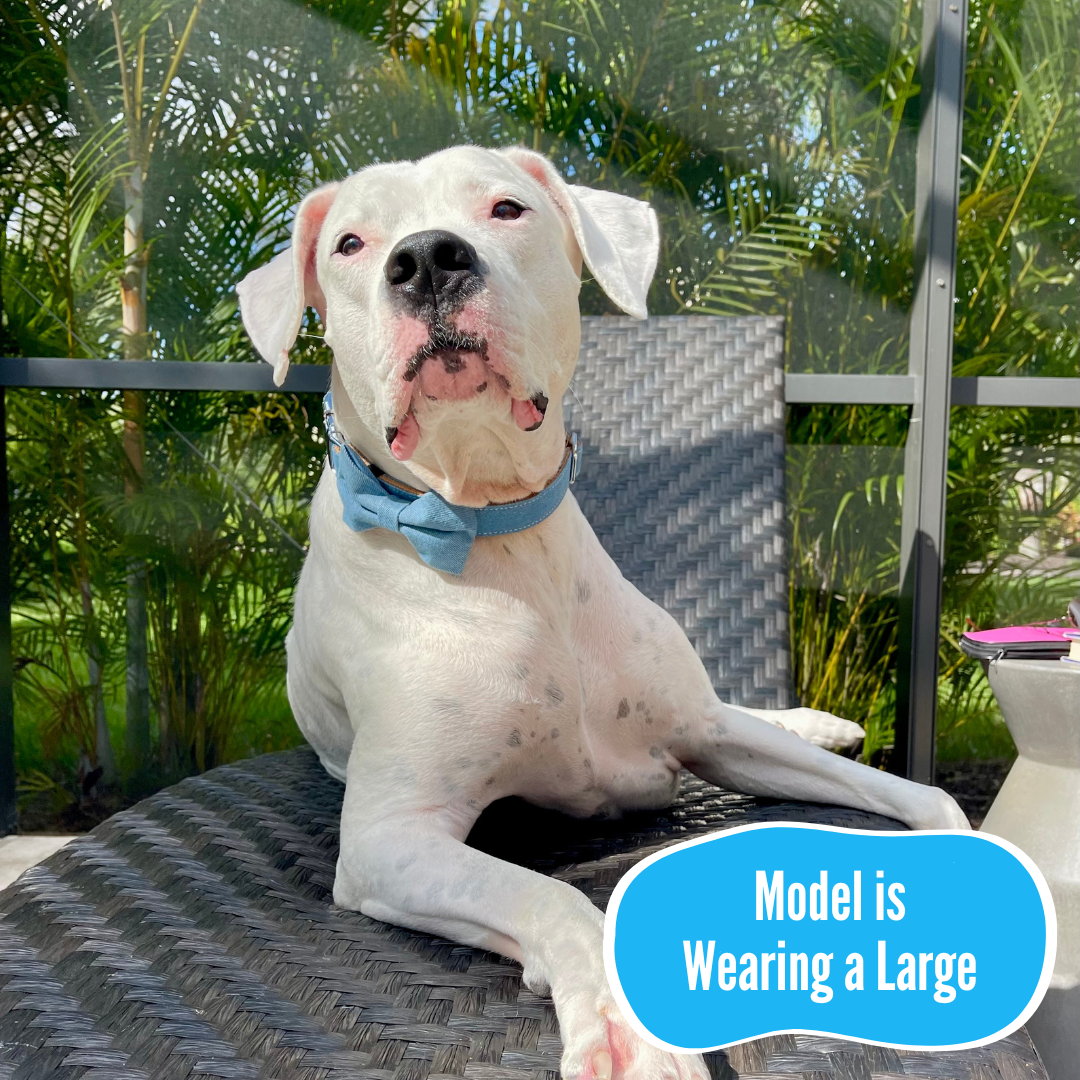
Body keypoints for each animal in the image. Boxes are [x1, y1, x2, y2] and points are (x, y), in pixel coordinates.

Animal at [237, 145, 969, 1080]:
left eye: (506, 208)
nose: (428, 259)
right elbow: (550, 895)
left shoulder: (705, 733)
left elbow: (903, 792)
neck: (499, 533)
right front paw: (623, 1033)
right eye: (351, 244)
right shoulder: (389, 839)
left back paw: (819, 722)